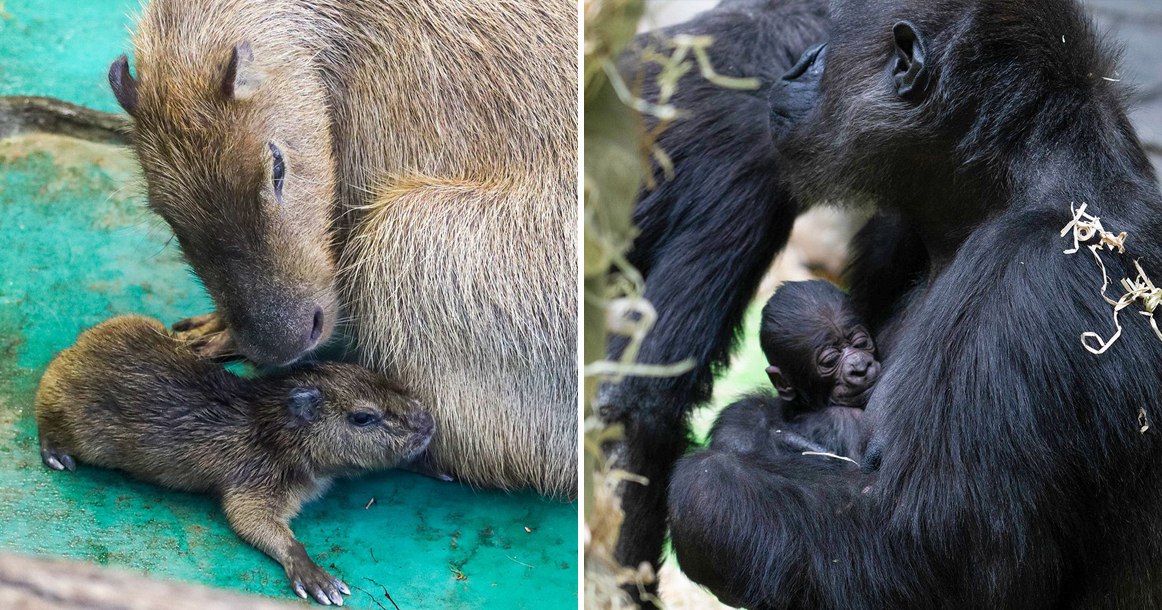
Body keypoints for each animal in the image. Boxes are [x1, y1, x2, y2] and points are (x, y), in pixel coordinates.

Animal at [38, 313, 436, 604]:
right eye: (363, 417)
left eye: (383, 378)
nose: (428, 422)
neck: (272, 426)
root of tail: (75, 348)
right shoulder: (256, 481)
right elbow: (253, 522)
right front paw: (319, 580)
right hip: (79, 424)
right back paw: (56, 453)